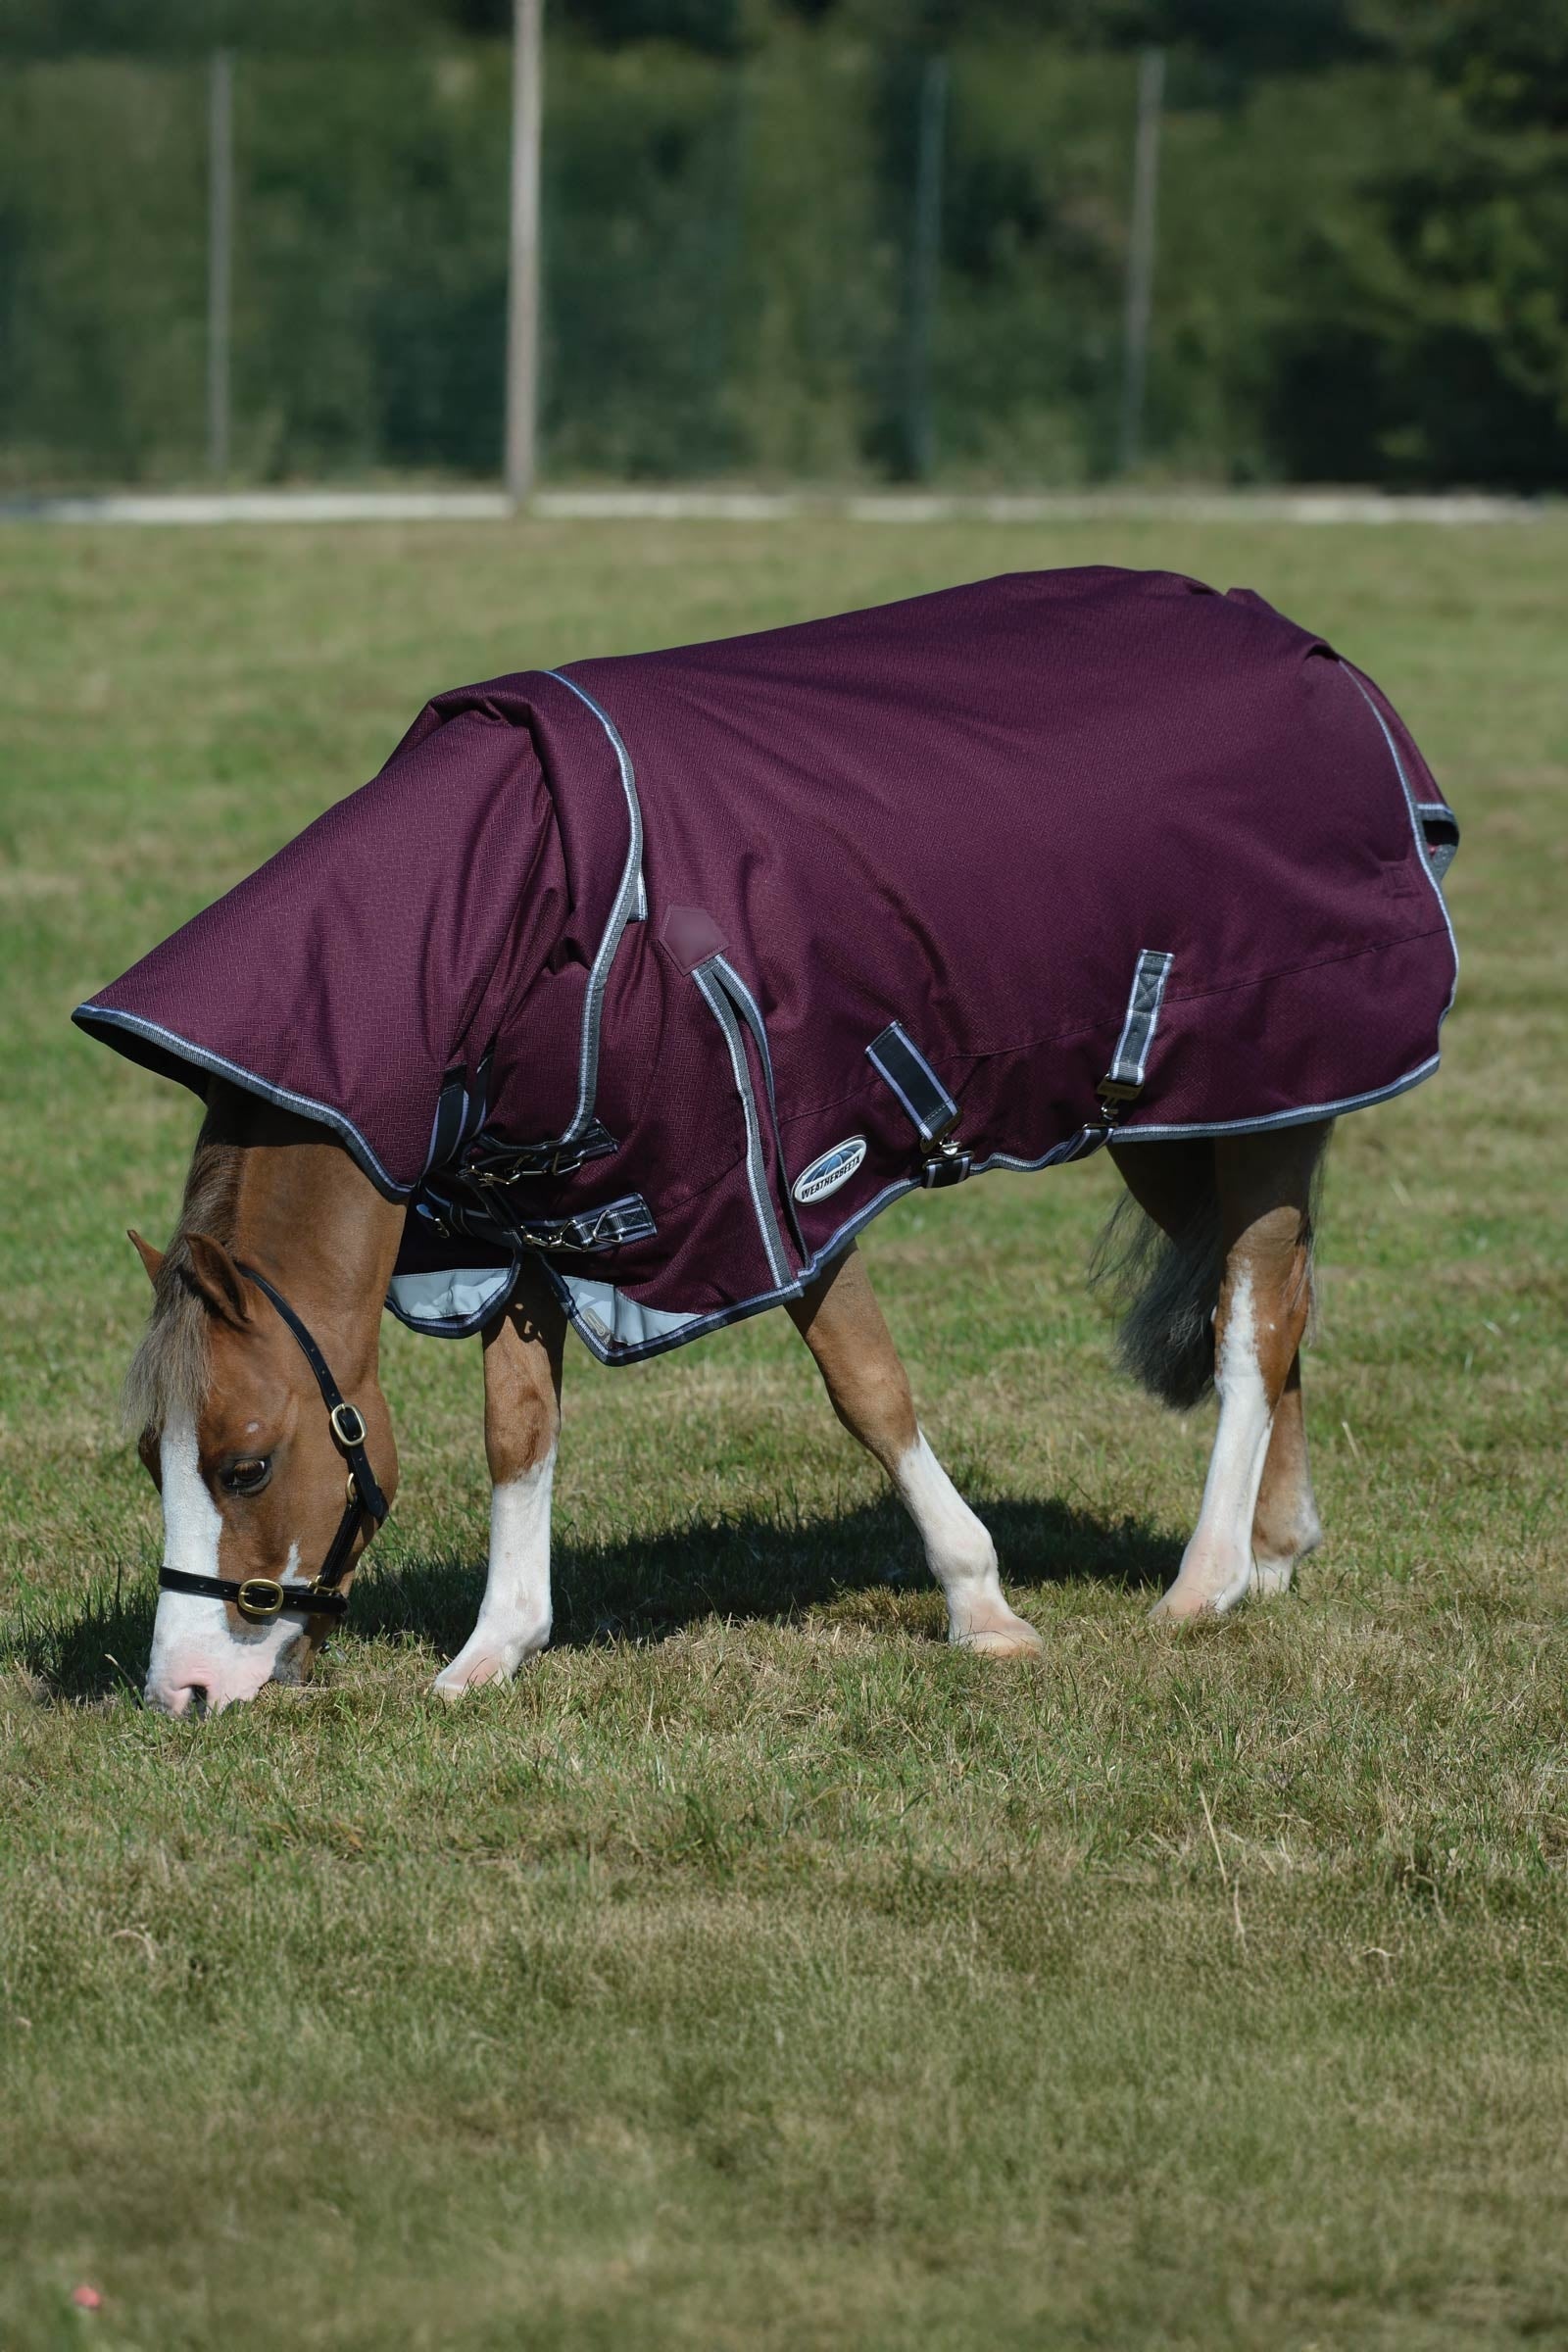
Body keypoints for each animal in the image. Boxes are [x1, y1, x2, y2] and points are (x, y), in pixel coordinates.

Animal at [80, 568, 1456, 1715]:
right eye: (152, 1459)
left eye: (246, 1466)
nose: (181, 1692)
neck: (514, 914)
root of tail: (1307, 650)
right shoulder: (530, 1224)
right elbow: (518, 1432)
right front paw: (490, 1654)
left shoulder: (777, 1188)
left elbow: (868, 1389)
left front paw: (984, 1609)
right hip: (1186, 1119)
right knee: (1266, 1297)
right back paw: (1274, 1551)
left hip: (1261, 1078)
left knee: (1251, 1314)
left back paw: (1204, 1580)